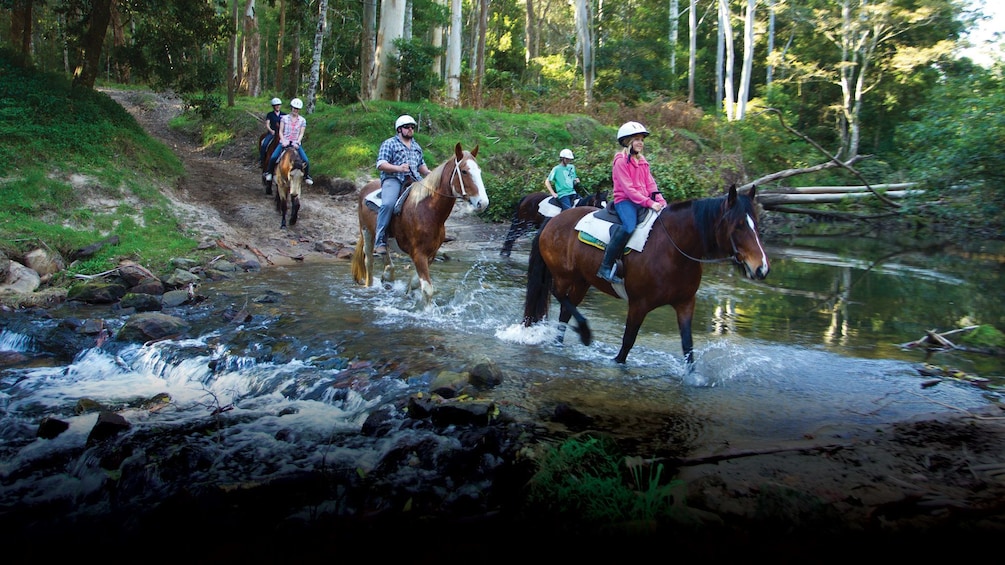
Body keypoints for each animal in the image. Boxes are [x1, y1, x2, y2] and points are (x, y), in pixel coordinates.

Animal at [351, 142, 488, 305]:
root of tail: (366, 187)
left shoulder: (431, 254)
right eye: (464, 171)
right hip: (366, 232)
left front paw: (408, 291)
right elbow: (427, 289)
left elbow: (417, 282)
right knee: (369, 262)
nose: (483, 203)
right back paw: (370, 285)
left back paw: (387, 276)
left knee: (386, 258)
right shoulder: (418, 254)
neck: (427, 210)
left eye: (479, 171)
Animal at [522, 184, 771, 365]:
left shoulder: (685, 303)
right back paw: (584, 331)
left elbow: (688, 347)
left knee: (566, 310)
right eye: (738, 225)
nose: (761, 268)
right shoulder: (639, 304)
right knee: (558, 294)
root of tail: (553, 221)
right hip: (564, 275)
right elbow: (626, 344)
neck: (674, 249)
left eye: (757, 223)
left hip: (582, 281)